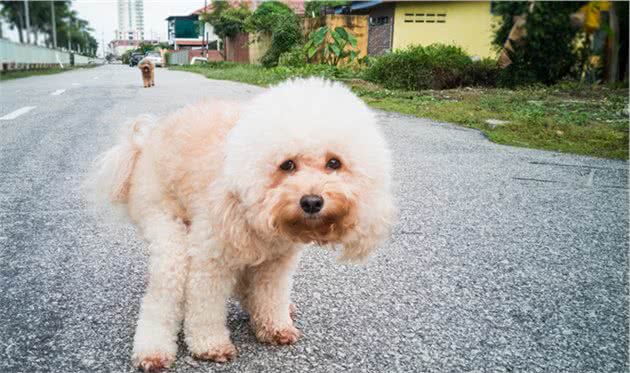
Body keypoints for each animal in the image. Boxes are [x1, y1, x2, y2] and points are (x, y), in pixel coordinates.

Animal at [89, 77, 396, 370]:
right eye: (287, 164)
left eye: (334, 163)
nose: (311, 202)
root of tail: (140, 146)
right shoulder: (211, 257)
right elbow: (204, 304)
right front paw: (210, 345)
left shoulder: (276, 263)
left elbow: (270, 296)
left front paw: (275, 326)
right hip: (164, 223)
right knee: (164, 292)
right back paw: (153, 351)